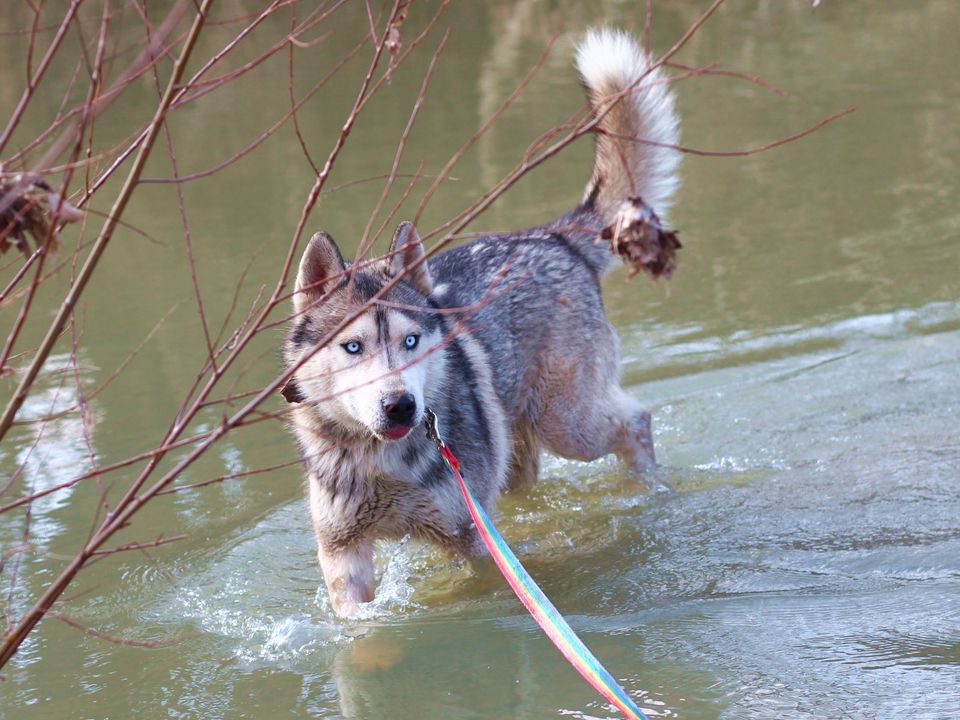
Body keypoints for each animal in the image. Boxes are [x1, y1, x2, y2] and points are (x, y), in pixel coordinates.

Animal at [282, 26, 680, 612]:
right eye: (352, 347)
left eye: (412, 341)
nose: (400, 405)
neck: (381, 463)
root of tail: (550, 236)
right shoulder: (343, 555)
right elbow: (357, 622)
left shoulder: (470, 538)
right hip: (520, 451)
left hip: (568, 425)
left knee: (637, 420)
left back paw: (644, 489)